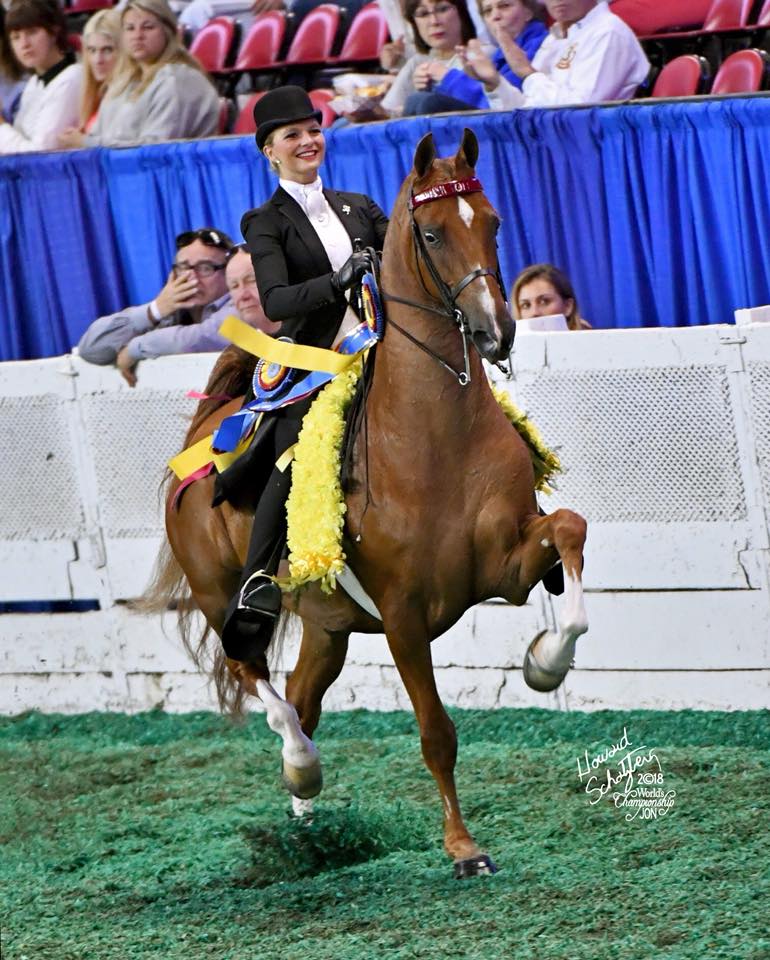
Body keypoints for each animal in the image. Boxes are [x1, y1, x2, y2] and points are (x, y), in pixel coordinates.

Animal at [158, 131, 588, 880]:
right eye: (430, 232)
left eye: (493, 221)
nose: (497, 333)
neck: (436, 433)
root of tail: (205, 435)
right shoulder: (404, 616)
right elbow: (436, 732)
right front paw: (464, 849)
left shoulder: (503, 565)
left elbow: (568, 529)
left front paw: (545, 662)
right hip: (223, 599)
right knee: (256, 678)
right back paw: (302, 768)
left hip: (327, 627)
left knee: (302, 697)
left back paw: (307, 826)